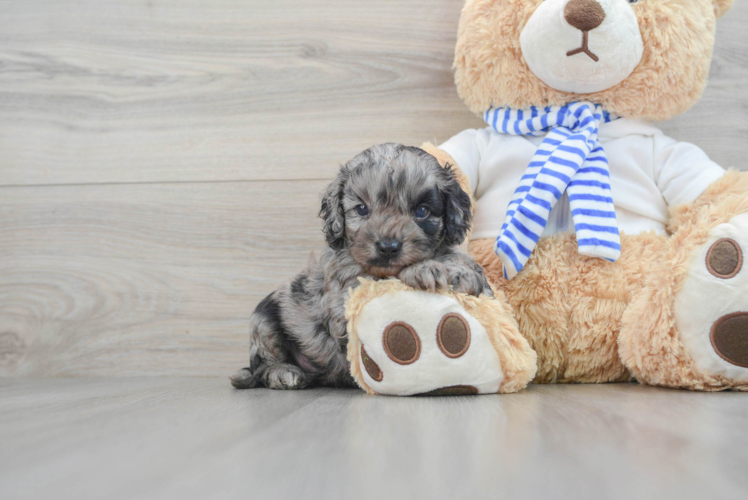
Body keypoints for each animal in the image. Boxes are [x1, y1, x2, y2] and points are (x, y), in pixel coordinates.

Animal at [231, 143, 494, 388]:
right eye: (362, 209)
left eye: (422, 211)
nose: (388, 247)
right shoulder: (344, 297)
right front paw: (424, 269)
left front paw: (461, 272)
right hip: (264, 322)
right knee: (261, 365)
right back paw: (283, 373)